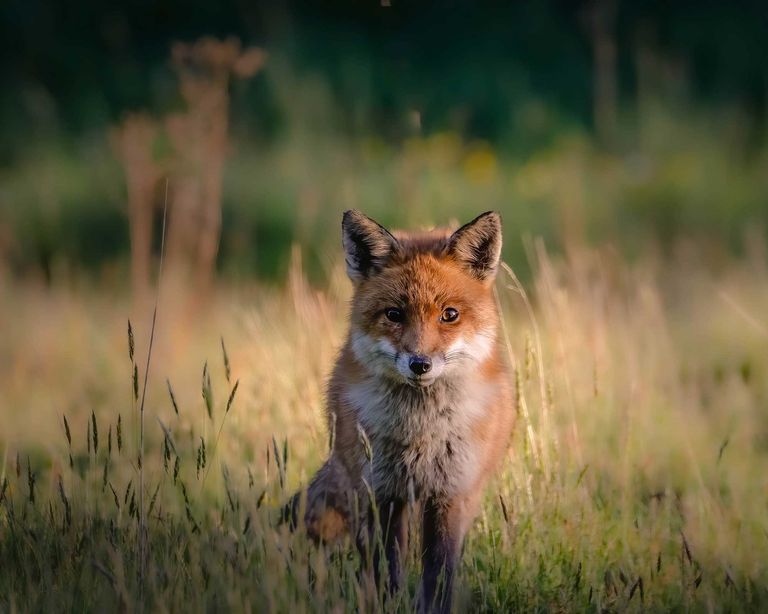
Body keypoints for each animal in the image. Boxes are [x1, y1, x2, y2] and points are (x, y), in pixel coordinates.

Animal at [301, 210, 514, 613]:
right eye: (394, 314)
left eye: (450, 314)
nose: (420, 364)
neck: (421, 433)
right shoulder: (381, 492)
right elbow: (386, 569)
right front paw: (386, 604)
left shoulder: (450, 495)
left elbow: (439, 572)